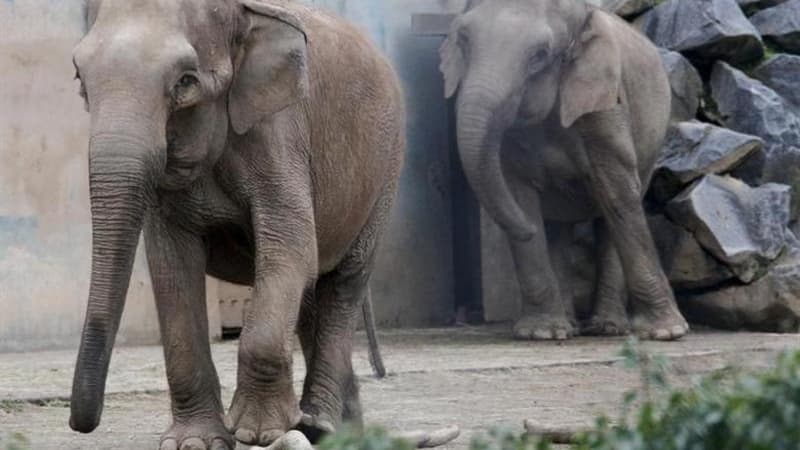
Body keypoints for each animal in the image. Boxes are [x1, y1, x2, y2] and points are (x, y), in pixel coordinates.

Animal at [67, 1, 406, 448]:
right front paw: (195, 442)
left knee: (344, 283)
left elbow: (292, 247)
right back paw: (336, 429)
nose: (81, 424)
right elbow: (171, 267)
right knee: (312, 292)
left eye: (186, 82)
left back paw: (320, 424)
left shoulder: (279, 133)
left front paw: (256, 431)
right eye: (79, 78)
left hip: (386, 172)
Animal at [440, 0, 692, 342]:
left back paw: (607, 328)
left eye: (540, 54)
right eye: (463, 39)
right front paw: (539, 332)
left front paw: (667, 332)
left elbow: (617, 193)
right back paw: (569, 326)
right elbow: (517, 191)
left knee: (612, 214)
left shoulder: (605, 105)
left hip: (651, 147)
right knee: (558, 227)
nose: (525, 231)